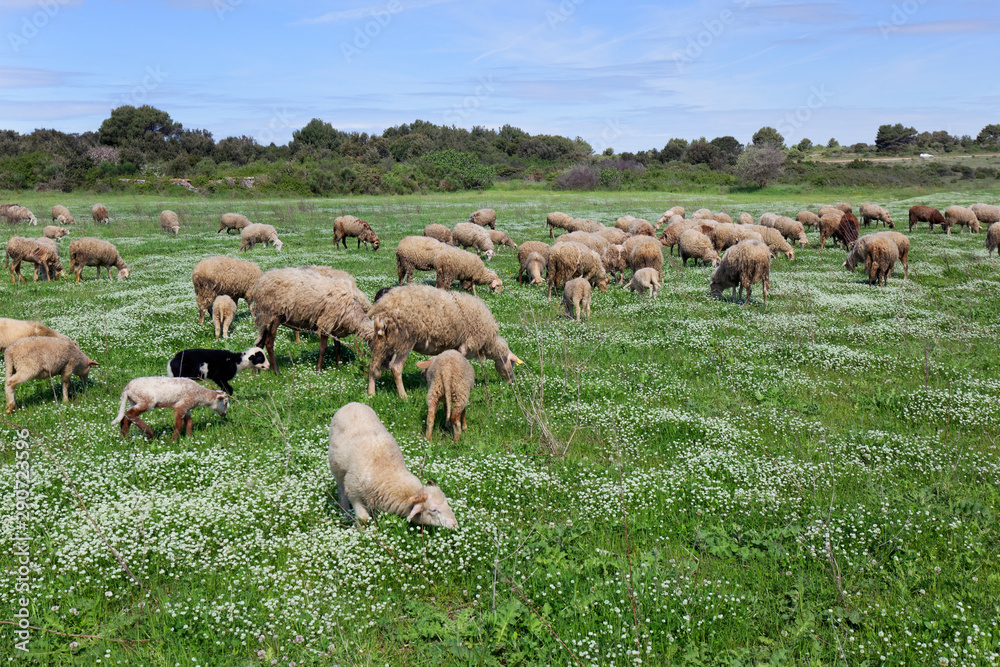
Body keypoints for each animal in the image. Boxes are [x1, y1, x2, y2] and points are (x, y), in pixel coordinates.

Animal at [328, 402, 458, 528]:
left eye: (446, 503)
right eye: (433, 510)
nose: (455, 524)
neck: (386, 471)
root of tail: (351, 403)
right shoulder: (353, 492)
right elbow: (363, 518)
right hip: (337, 470)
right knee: (341, 489)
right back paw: (345, 512)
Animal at [366, 283, 522, 398]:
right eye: (512, 363)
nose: (510, 381)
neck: (490, 341)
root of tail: (383, 304)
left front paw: (426, 375)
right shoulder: (466, 345)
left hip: (383, 338)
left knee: (373, 365)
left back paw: (371, 394)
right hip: (405, 338)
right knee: (396, 368)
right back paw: (403, 396)